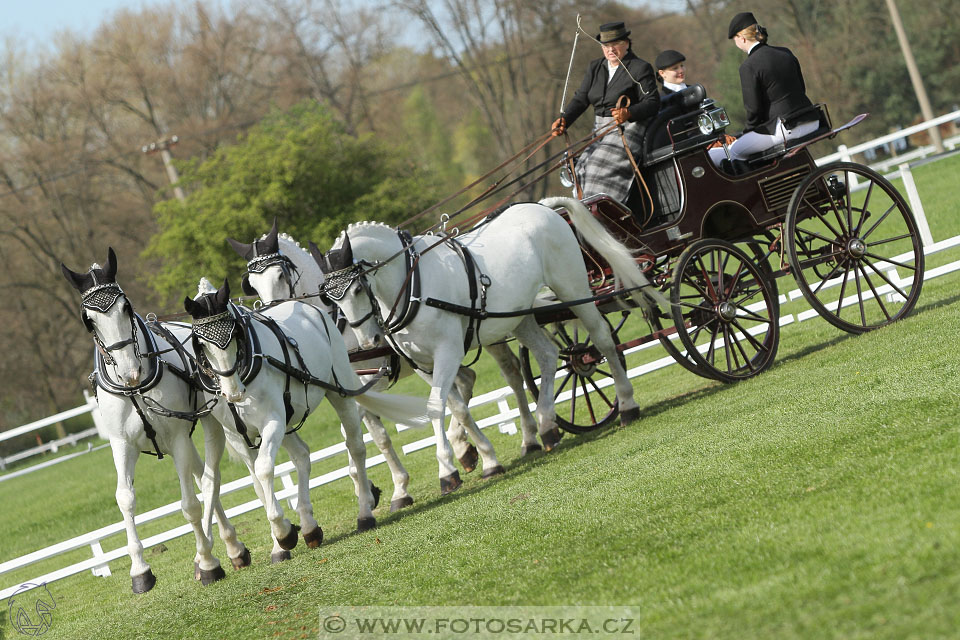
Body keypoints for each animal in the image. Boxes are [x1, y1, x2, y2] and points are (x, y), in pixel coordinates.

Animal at [57, 251, 249, 596]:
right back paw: (229, 546)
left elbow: (189, 505)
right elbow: (125, 499)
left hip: (209, 426)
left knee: (209, 479)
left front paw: (207, 564)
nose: (129, 371)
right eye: (88, 320)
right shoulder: (121, 444)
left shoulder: (178, 438)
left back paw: (224, 549)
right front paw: (140, 571)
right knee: (202, 476)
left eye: (126, 307)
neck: (135, 387)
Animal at [186, 278, 426, 544]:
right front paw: (281, 540)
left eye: (235, 334)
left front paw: (282, 532)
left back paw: (364, 512)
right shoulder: (238, 435)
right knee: (302, 455)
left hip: (339, 391)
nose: (233, 392)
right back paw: (310, 526)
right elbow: (256, 482)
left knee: (355, 445)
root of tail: (307, 307)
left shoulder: (272, 421)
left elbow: (264, 469)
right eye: (201, 344)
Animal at [228, 225, 488, 504]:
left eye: (279, 274)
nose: (270, 314)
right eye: (253, 284)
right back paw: (465, 449)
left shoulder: (363, 385)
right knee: (467, 380)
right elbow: (381, 438)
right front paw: (398, 488)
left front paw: (366, 486)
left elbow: (350, 436)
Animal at [318, 199, 664, 490]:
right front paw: (483, 458)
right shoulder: (423, 364)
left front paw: (447, 470)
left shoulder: (447, 352)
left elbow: (435, 408)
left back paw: (626, 405)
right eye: (330, 298)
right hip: (518, 316)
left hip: (573, 288)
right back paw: (546, 426)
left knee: (600, 339)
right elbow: (455, 408)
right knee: (546, 356)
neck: (412, 285)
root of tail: (542, 206)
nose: (369, 341)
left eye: (358, 289)